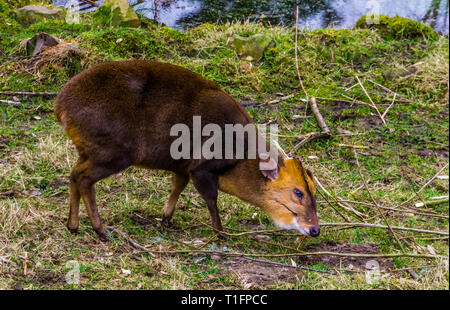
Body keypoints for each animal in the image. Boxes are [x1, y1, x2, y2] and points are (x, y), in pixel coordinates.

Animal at [53, 59, 320, 241]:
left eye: (314, 191)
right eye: (298, 192)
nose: (315, 229)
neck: (240, 160)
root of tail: (60, 107)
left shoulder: (181, 166)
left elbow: (176, 188)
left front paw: (166, 219)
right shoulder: (202, 167)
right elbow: (211, 199)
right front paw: (221, 233)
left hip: (88, 150)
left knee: (74, 174)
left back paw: (72, 225)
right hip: (113, 151)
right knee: (83, 178)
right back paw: (99, 230)